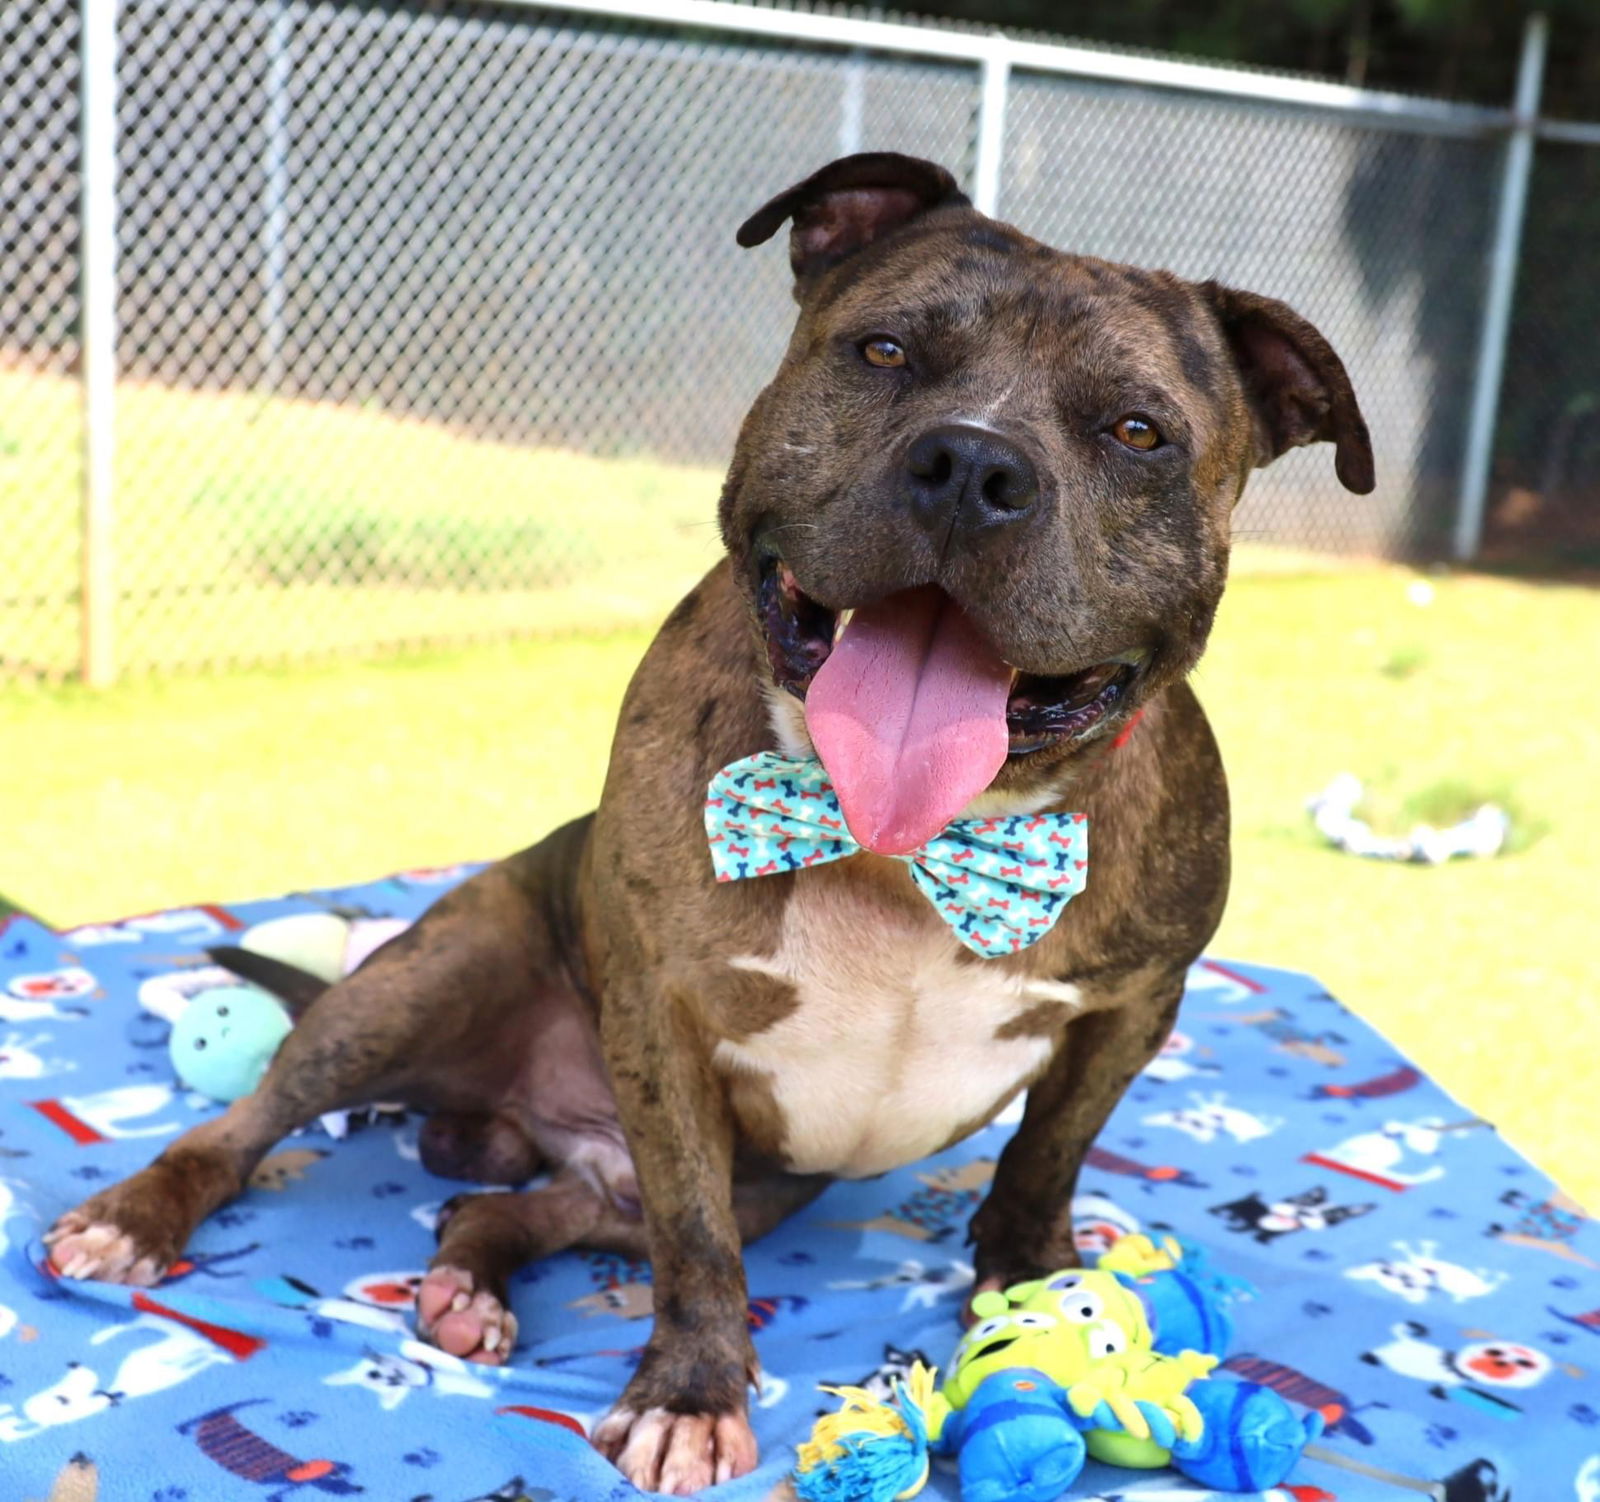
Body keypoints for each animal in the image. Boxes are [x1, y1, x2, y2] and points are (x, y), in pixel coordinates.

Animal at [53, 152, 1376, 1490]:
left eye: (1138, 432)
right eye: (884, 350)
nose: (971, 466)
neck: (906, 846)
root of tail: (527, 1121)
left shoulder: (1133, 1004)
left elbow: (1046, 1148)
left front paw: (1033, 1281)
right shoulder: (664, 1011)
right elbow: (695, 1244)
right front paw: (688, 1392)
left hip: (743, 1179)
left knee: (523, 1209)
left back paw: (470, 1285)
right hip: (423, 982)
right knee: (251, 1118)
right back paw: (134, 1217)